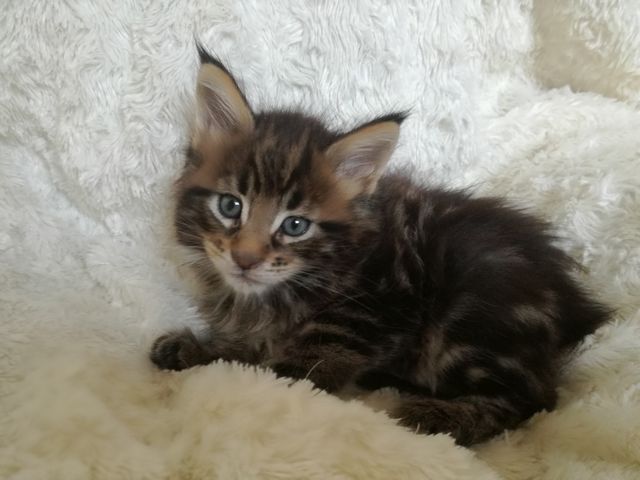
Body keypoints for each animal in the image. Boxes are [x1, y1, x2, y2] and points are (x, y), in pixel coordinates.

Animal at [150, 45, 610, 446]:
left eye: (295, 225)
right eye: (230, 206)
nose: (245, 259)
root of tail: (573, 305)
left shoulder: (372, 311)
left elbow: (283, 370)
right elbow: (247, 347)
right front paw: (198, 348)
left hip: (475, 301)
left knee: (532, 400)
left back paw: (434, 415)